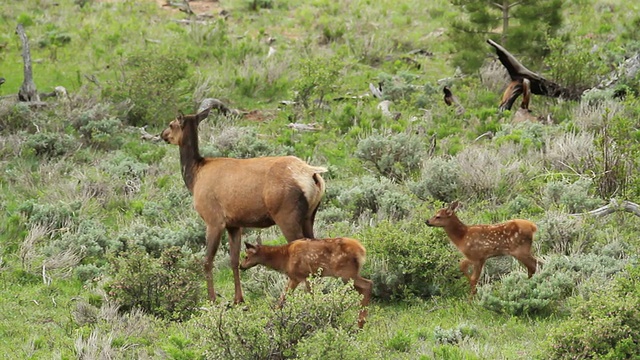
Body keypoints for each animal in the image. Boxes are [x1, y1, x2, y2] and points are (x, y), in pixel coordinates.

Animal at [162, 108, 328, 306]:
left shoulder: (214, 220)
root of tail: (313, 174)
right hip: (310, 216)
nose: (163, 135)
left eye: (171, 124)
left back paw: (308, 297)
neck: (195, 176)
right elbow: (234, 260)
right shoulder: (234, 224)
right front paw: (238, 299)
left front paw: (212, 299)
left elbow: (208, 260)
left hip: (287, 215)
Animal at [240, 238, 372, 328]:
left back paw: (360, 323)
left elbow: (293, 297)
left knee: (368, 284)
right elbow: (283, 298)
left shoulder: (302, 276)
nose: (240, 266)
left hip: (345, 273)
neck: (284, 259)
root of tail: (362, 250)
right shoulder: (299, 277)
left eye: (246, 256)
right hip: (349, 275)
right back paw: (360, 322)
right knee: (363, 289)